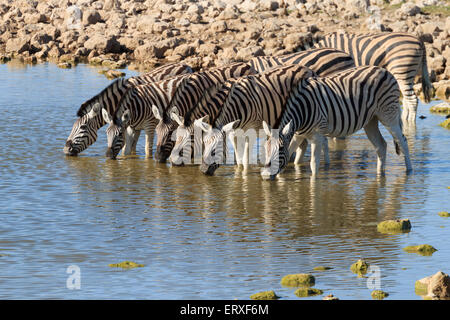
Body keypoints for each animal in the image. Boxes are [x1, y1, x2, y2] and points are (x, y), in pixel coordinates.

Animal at [62, 62, 192, 156]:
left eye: (83, 127)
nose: (65, 150)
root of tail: (186, 65)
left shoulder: (144, 124)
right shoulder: (132, 125)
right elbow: (128, 149)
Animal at [258, 65, 414, 180]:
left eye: (279, 149)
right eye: (265, 149)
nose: (265, 175)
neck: (302, 112)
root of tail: (385, 70)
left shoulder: (317, 135)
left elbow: (314, 163)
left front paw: (314, 184)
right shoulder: (298, 135)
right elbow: (290, 154)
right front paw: (280, 179)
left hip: (389, 115)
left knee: (403, 141)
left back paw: (409, 172)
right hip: (371, 120)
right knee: (381, 146)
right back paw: (379, 174)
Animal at [298, 31, 434, 124]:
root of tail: (418, 40)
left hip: (402, 70)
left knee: (412, 100)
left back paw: (409, 126)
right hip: (409, 73)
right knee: (406, 100)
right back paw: (403, 120)